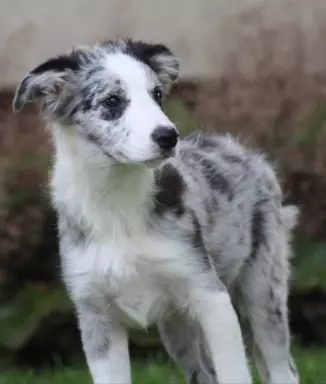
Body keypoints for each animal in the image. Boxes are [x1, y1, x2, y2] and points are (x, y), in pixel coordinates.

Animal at [12, 38, 300, 384]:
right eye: (112, 101)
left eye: (158, 94)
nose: (168, 137)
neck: (117, 203)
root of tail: (246, 153)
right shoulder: (96, 317)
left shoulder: (210, 297)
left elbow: (234, 373)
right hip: (178, 326)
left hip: (263, 289)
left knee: (283, 368)